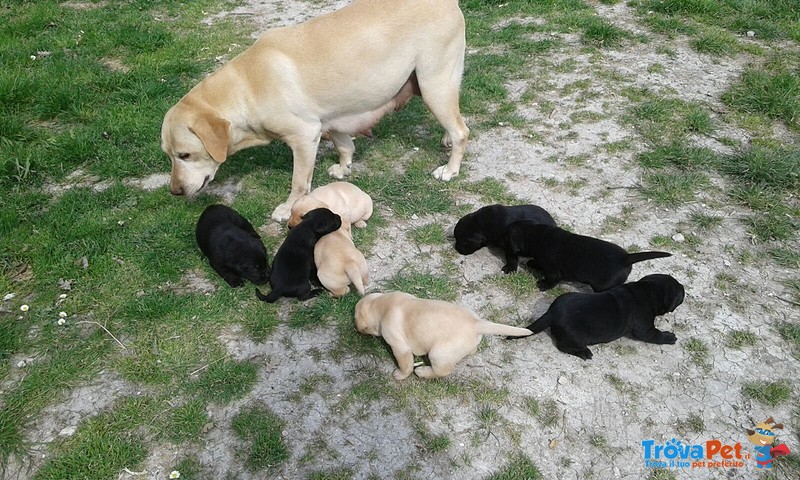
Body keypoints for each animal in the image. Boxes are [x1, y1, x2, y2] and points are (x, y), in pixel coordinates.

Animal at [161, 0, 468, 221]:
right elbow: (345, 146)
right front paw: (344, 168)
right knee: (457, 119)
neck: (246, 86)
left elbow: (299, 183)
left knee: (461, 131)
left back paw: (450, 169)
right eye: (169, 155)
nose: (175, 191)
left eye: (185, 155)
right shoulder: (330, 122)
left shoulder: (304, 136)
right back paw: (445, 140)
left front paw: (287, 209)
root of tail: (447, 2)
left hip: (434, 85)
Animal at [354, 290, 532, 380]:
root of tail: (476, 323)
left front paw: (400, 375)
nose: (356, 329)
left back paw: (422, 372)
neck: (382, 305)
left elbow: (405, 364)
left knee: (442, 371)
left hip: (438, 353)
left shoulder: (399, 347)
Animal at [504, 222, 672, 292]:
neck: (537, 234)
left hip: (603, 286)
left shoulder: (552, 271)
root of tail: (626, 257)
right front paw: (532, 263)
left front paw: (543, 285)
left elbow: (551, 279)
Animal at [510, 274, 684, 360]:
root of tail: (553, 312)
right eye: (680, 292)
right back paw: (584, 353)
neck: (648, 289)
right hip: (577, 338)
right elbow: (654, 335)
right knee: (564, 346)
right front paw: (670, 337)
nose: (683, 287)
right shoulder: (644, 327)